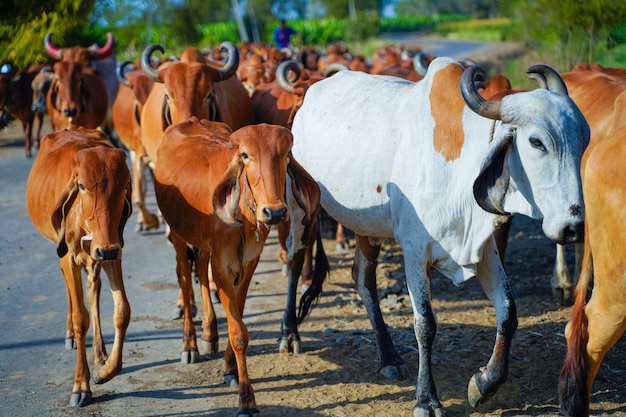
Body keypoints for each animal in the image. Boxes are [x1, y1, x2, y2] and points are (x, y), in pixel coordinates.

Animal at [24, 125, 132, 404]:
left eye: (125, 185)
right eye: (82, 185)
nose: (105, 248)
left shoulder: (113, 253)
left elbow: (122, 311)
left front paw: (106, 370)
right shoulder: (70, 258)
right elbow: (79, 318)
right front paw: (81, 384)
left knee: (93, 294)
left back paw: (100, 354)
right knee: (73, 297)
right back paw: (71, 336)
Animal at [154, 118, 324, 416]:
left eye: (288, 153)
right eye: (245, 155)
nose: (275, 212)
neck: (244, 218)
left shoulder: (248, 264)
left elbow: (240, 317)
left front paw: (230, 369)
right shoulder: (222, 267)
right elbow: (238, 333)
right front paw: (247, 400)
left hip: (202, 244)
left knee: (199, 268)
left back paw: (209, 333)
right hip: (177, 234)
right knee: (185, 279)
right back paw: (190, 344)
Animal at [286, 56, 588, 416]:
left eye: (584, 140)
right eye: (537, 142)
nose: (574, 226)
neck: (461, 161)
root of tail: (310, 93)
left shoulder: (483, 248)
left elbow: (508, 311)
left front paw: (484, 383)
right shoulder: (415, 249)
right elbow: (425, 324)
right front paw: (426, 399)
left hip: (365, 226)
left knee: (362, 278)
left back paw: (388, 357)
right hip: (300, 208)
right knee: (294, 262)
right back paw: (289, 335)